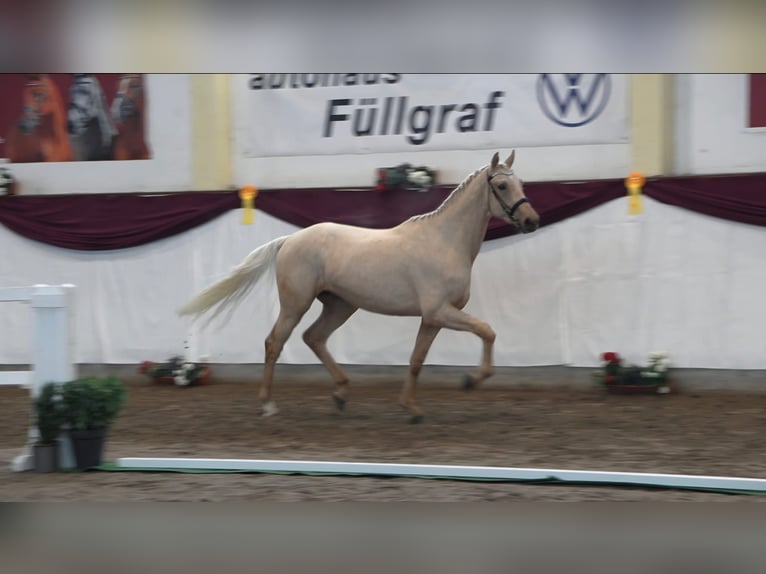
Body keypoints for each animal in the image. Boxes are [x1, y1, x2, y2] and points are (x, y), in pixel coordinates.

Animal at [178, 151, 540, 423]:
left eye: (521, 183)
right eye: (502, 184)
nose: (531, 221)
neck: (444, 242)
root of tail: (289, 240)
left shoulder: (432, 318)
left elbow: (417, 360)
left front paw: (412, 409)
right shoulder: (440, 312)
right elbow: (487, 331)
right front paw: (469, 381)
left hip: (340, 304)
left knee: (314, 337)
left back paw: (340, 394)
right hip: (297, 303)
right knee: (274, 342)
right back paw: (268, 405)